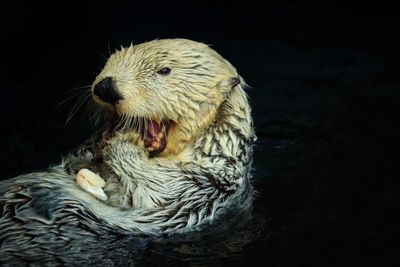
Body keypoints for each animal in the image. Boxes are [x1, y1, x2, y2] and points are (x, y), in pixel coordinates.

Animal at [0, 38, 255, 264]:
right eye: (110, 61)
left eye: (164, 70)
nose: (106, 87)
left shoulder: (205, 182)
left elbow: (153, 189)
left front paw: (124, 141)